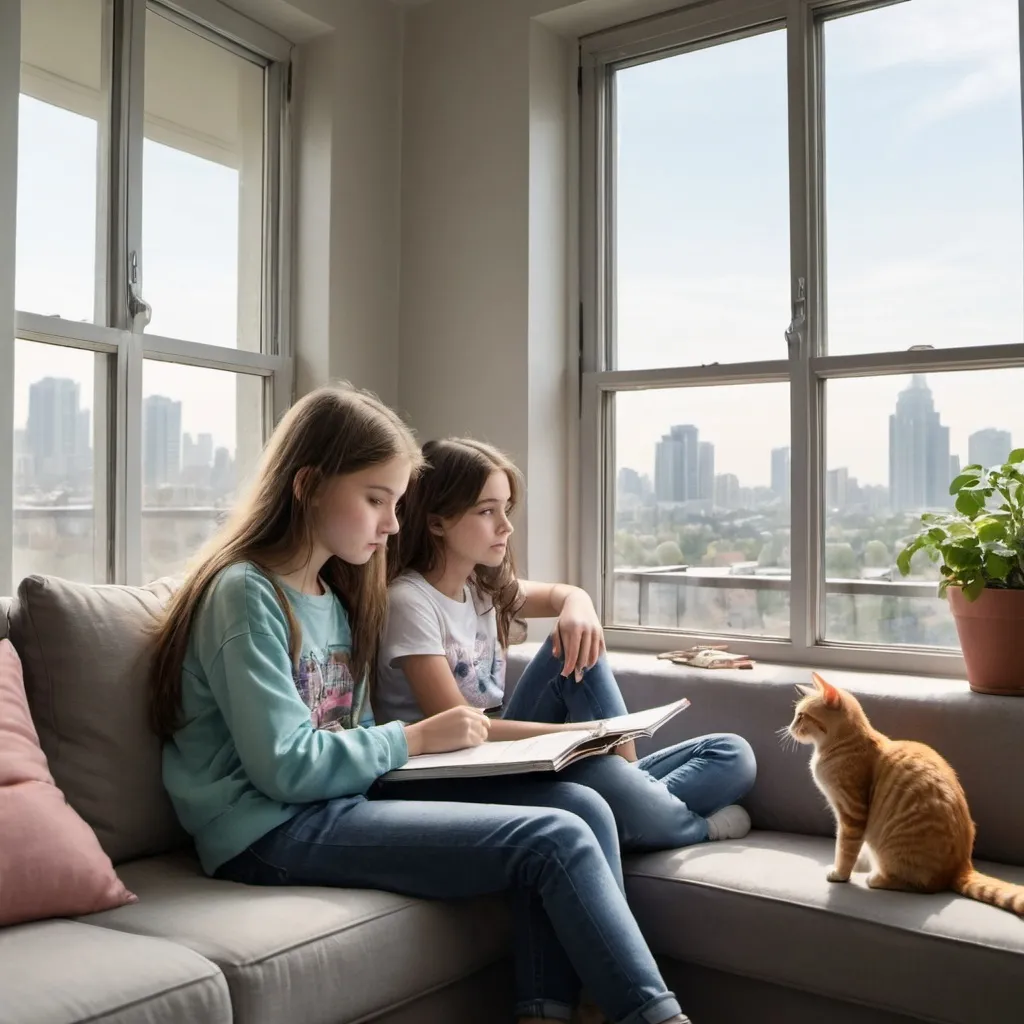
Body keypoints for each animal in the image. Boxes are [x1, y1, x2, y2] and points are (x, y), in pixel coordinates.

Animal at [786, 671, 1019, 913]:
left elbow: (845, 847)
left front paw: (841, 873)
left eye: (801, 716)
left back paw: (877, 877)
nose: (789, 728)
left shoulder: (851, 813)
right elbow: (851, 847)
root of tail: (962, 865)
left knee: (922, 884)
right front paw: (855, 864)